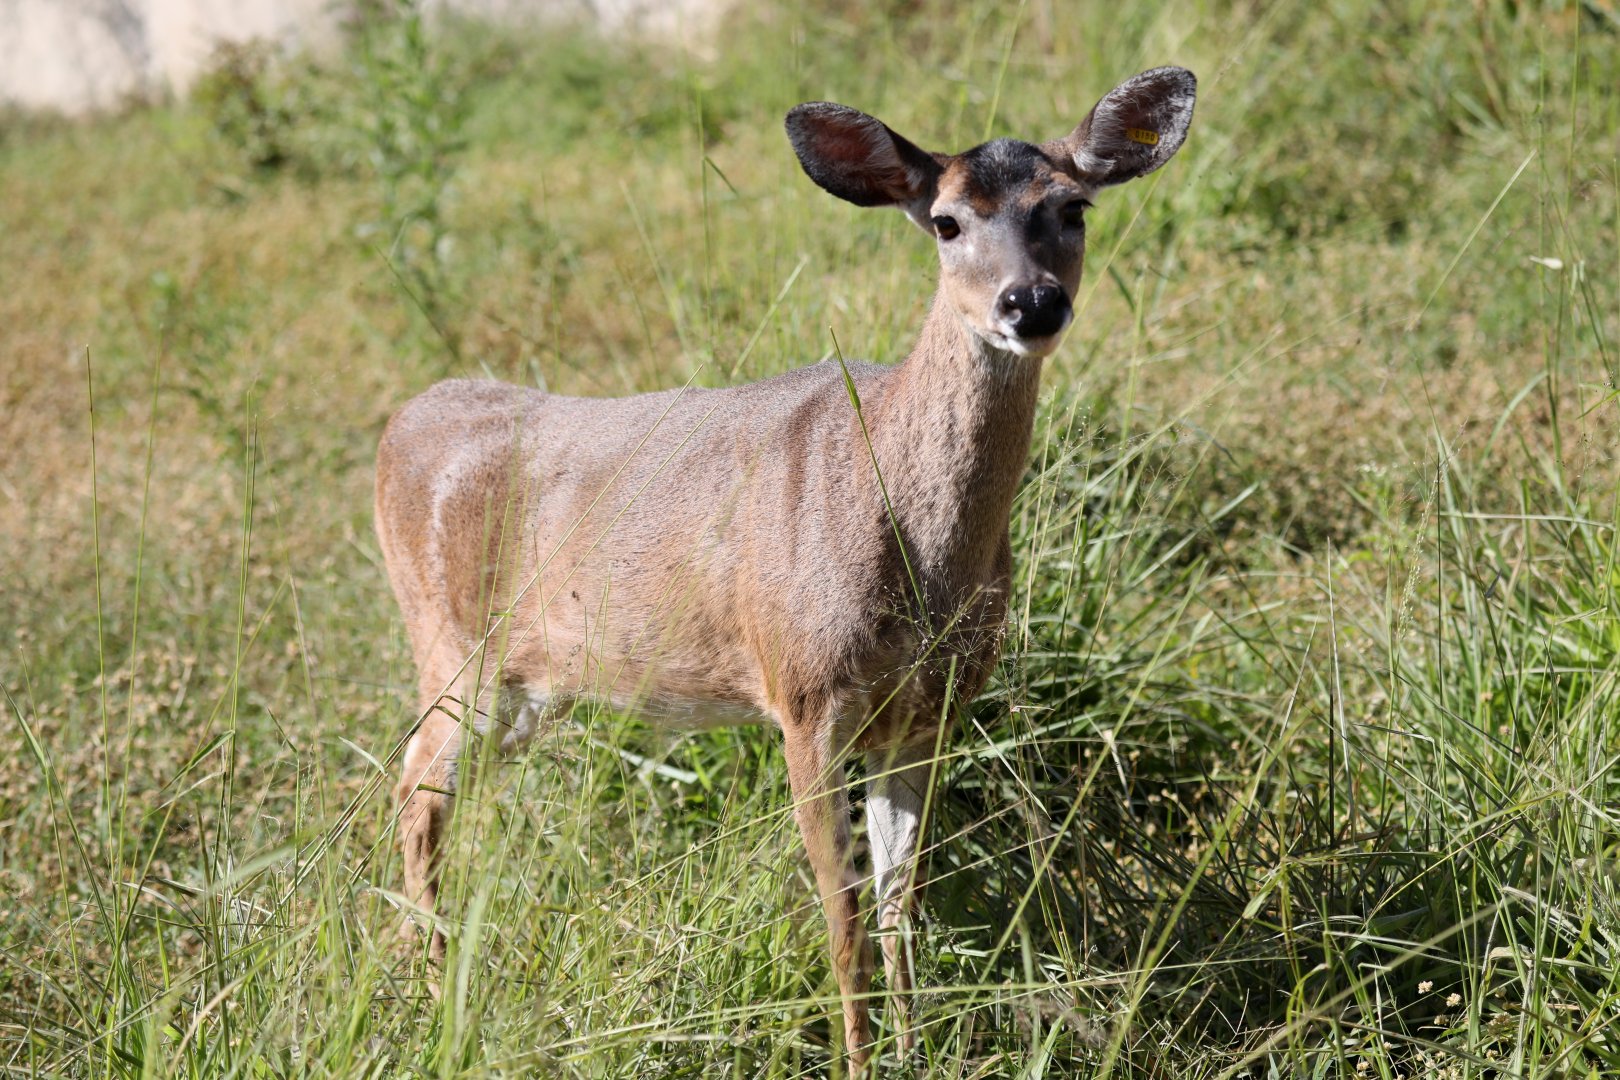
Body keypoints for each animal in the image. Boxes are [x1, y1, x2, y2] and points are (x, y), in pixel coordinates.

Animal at [375, 66, 1195, 1070]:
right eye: (946, 222)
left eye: (1072, 207)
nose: (1031, 303)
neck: (918, 561)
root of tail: (401, 422)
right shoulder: (805, 694)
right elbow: (843, 920)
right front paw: (861, 1061)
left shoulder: (928, 711)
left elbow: (901, 906)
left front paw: (913, 1052)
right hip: (451, 647)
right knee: (415, 790)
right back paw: (430, 999)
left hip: (528, 687)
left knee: (426, 791)